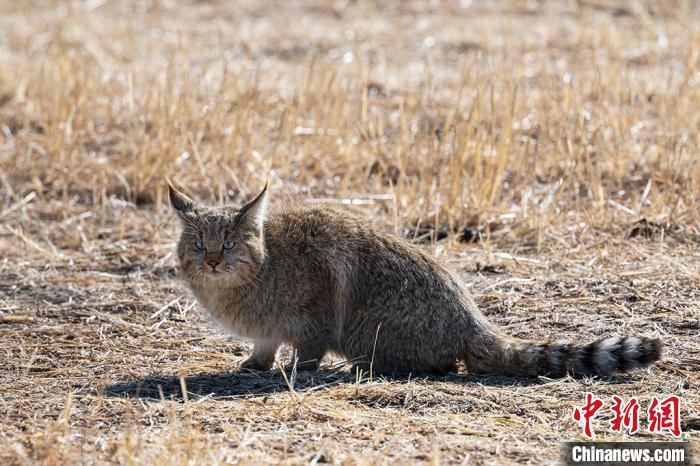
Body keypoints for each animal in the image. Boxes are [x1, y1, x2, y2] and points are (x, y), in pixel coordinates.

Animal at [168, 182, 660, 378]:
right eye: (200, 244)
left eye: (230, 243)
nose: (213, 262)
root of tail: (472, 319)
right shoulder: (268, 328)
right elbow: (264, 344)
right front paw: (257, 362)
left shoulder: (317, 312)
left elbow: (307, 350)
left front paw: (294, 370)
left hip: (371, 330)